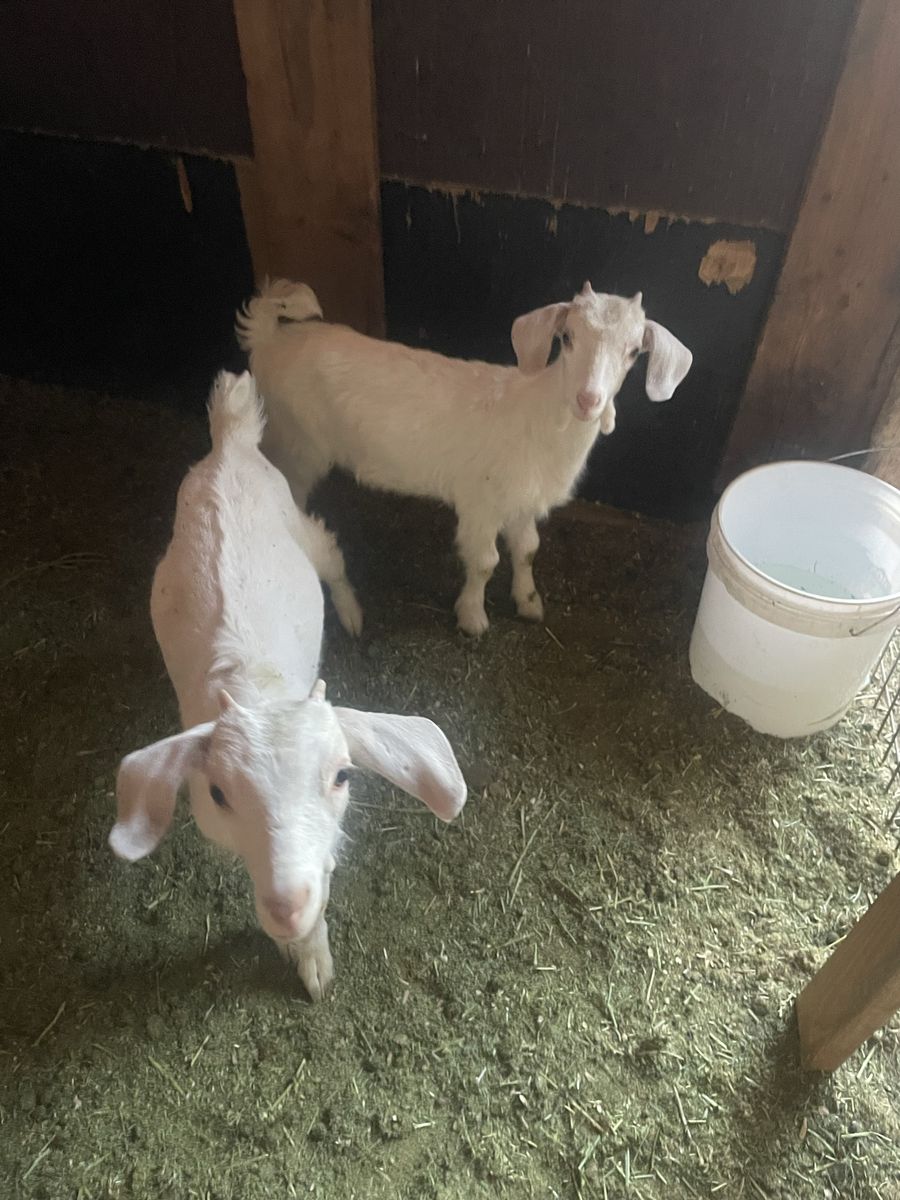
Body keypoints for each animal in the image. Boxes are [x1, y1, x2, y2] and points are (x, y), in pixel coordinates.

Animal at [109, 371, 467, 998]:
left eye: (344, 776)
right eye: (218, 793)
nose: (285, 907)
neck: (260, 686)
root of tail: (231, 442)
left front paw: (313, 956)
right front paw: (300, 948)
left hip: (299, 522)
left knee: (333, 558)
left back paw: (352, 613)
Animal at [237, 280, 692, 636]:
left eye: (634, 352)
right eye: (567, 338)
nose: (588, 400)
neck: (541, 418)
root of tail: (269, 337)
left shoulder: (523, 500)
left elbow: (527, 549)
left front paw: (529, 602)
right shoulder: (482, 502)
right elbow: (485, 561)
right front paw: (473, 617)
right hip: (297, 443)